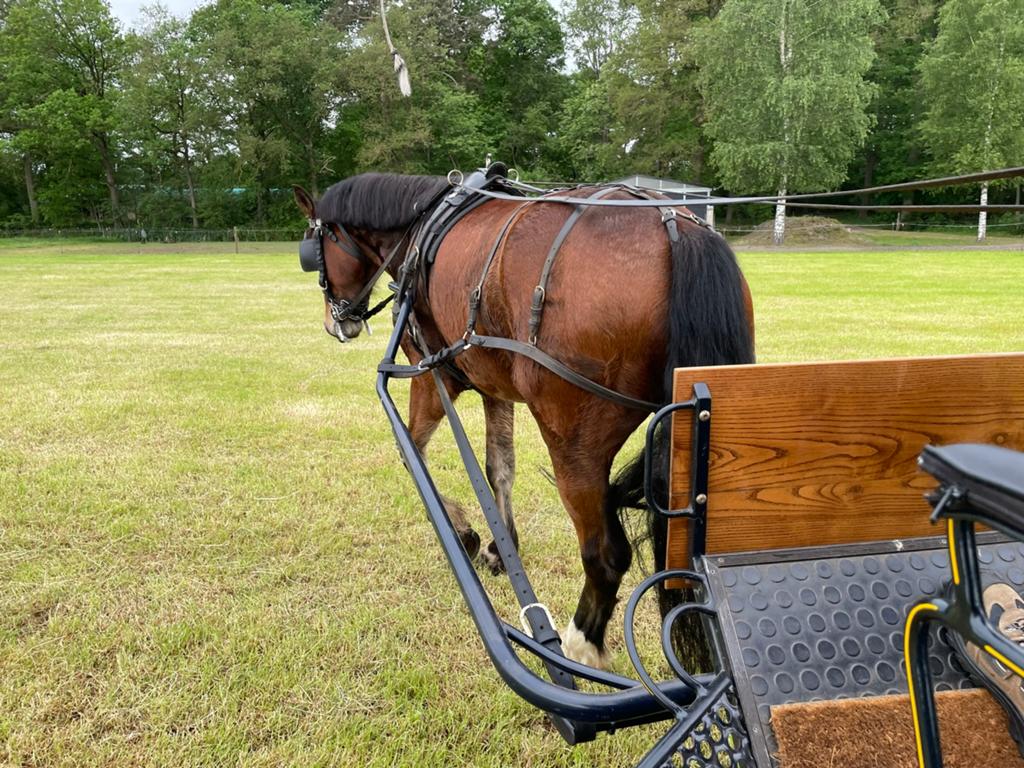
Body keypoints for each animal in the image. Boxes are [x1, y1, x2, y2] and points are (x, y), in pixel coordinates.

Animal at [293, 173, 754, 669]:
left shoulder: (434, 375)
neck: (422, 225)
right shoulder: (495, 385)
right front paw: (501, 547)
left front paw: (467, 534)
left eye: (314, 248)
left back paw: (579, 645)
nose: (336, 323)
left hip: (573, 442)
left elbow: (412, 450)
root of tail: (672, 226)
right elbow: (500, 467)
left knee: (605, 555)